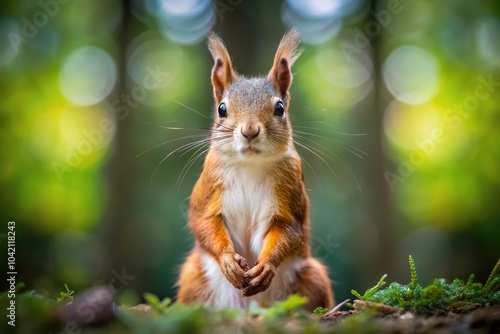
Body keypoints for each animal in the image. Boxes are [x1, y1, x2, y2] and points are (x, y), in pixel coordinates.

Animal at [174, 30, 334, 312]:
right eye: (222, 109)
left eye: (280, 108)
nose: (249, 130)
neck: (249, 165)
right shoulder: (209, 185)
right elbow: (203, 220)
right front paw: (228, 261)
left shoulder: (290, 192)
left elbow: (290, 229)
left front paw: (266, 267)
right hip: (193, 278)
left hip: (313, 276)